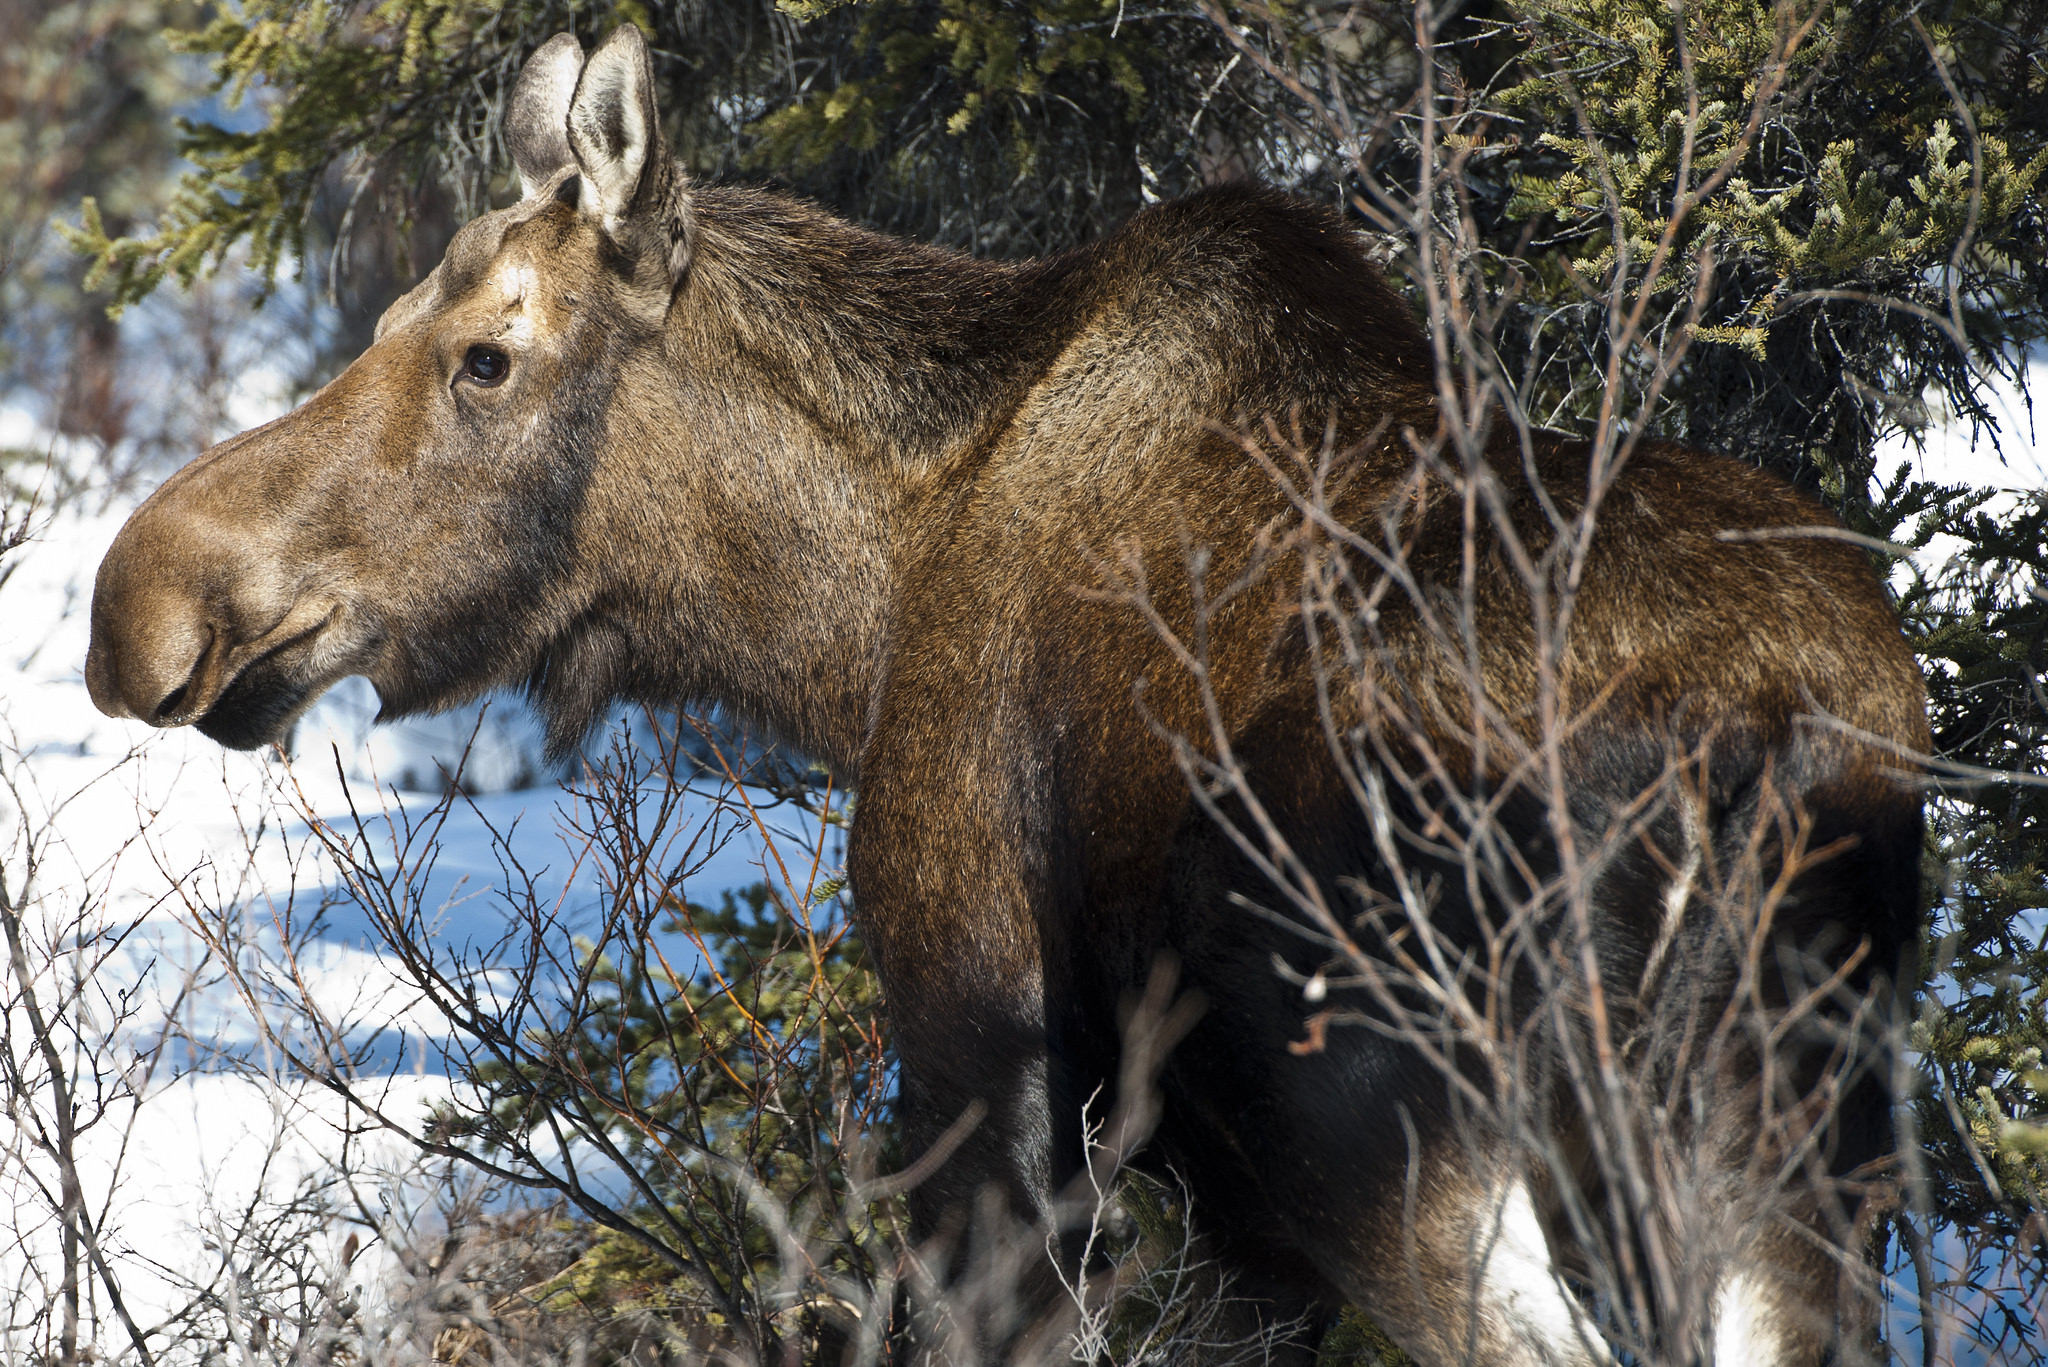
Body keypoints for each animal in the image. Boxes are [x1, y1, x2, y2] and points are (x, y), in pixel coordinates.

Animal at [88, 24, 1925, 1367]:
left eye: (485, 352)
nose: (143, 599)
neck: (850, 623)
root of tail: (1769, 748)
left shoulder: (984, 1047)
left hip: (1410, 1139)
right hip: (1796, 1156)